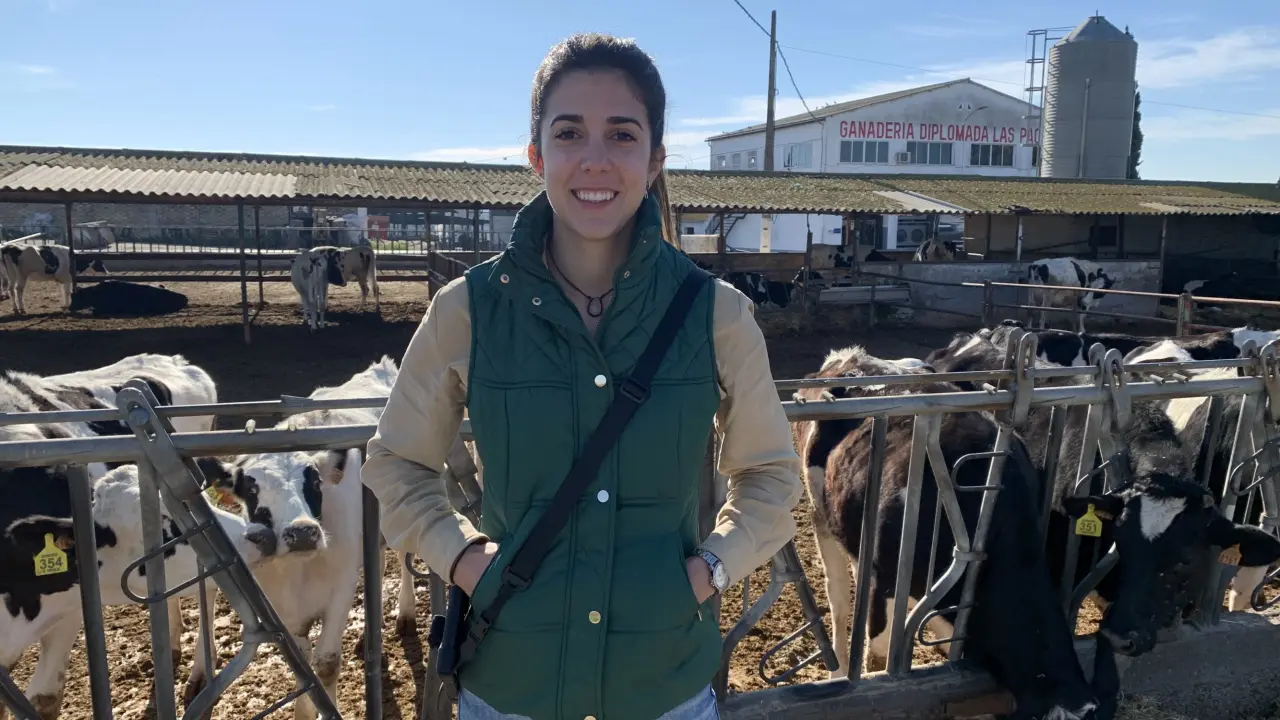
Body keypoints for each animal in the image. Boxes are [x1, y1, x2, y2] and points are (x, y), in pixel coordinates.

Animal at [196, 356, 417, 720]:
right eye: (252, 489)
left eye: (314, 482)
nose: (302, 532)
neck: (299, 573)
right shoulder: (280, 607)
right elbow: (304, 669)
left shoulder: (341, 588)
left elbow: (325, 664)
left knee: (402, 557)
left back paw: (405, 615)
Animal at [791, 345, 1101, 719]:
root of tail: (846, 357)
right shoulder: (886, 577)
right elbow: (879, 656)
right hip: (819, 511)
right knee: (837, 596)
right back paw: (837, 672)